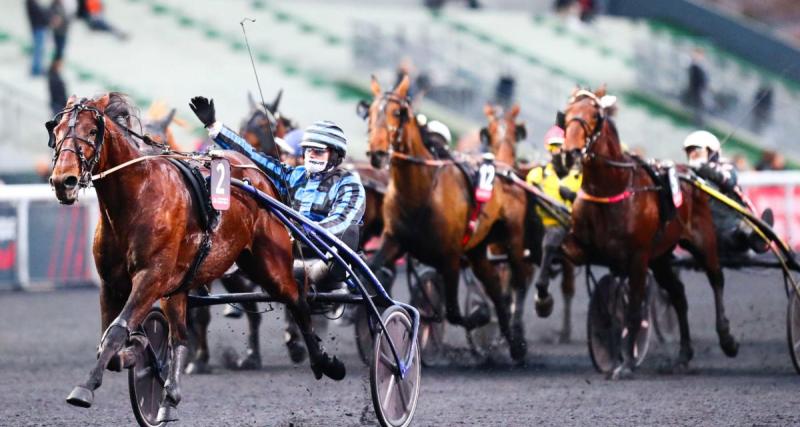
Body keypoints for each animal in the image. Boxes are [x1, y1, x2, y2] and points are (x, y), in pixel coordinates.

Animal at [49, 93, 344, 422]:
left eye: (91, 131)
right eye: (56, 130)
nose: (64, 181)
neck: (137, 197)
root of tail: (257, 173)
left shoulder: (151, 277)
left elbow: (115, 332)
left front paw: (85, 387)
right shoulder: (112, 284)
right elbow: (112, 341)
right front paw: (138, 350)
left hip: (269, 262)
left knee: (297, 298)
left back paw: (322, 361)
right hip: (183, 285)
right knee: (181, 335)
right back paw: (170, 397)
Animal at [368, 77, 536, 362]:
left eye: (398, 112)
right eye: (369, 111)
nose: (377, 153)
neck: (422, 189)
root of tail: (507, 169)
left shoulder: (450, 257)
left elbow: (454, 312)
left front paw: (480, 315)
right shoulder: (393, 239)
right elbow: (373, 267)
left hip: (512, 240)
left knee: (520, 281)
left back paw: (518, 341)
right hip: (479, 250)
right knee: (495, 288)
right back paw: (508, 336)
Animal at [556, 86, 736, 378]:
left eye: (595, 115)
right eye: (567, 113)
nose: (569, 153)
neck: (611, 189)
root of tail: (691, 175)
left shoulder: (638, 258)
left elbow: (633, 310)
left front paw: (626, 363)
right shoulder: (584, 248)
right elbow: (556, 249)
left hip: (703, 241)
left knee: (716, 279)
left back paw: (728, 340)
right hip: (660, 257)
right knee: (678, 295)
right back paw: (683, 356)